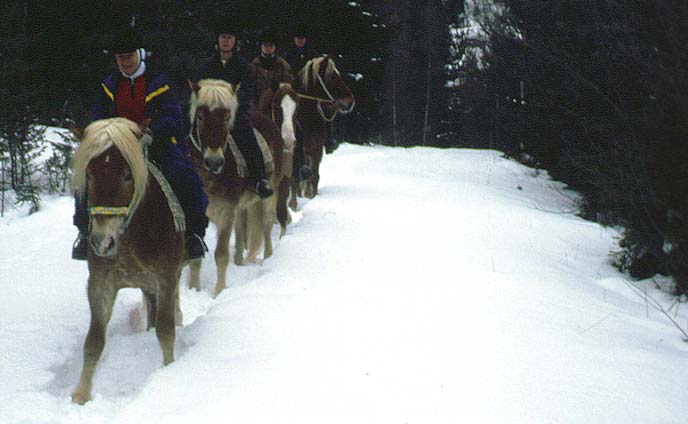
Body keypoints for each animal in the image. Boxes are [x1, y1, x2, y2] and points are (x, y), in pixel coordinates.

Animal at [70, 117, 185, 406]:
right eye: (89, 175)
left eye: (126, 175)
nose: (102, 242)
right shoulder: (100, 283)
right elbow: (93, 341)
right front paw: (81, 395)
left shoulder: (166, 277)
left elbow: (166, 331)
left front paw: (169, 372)